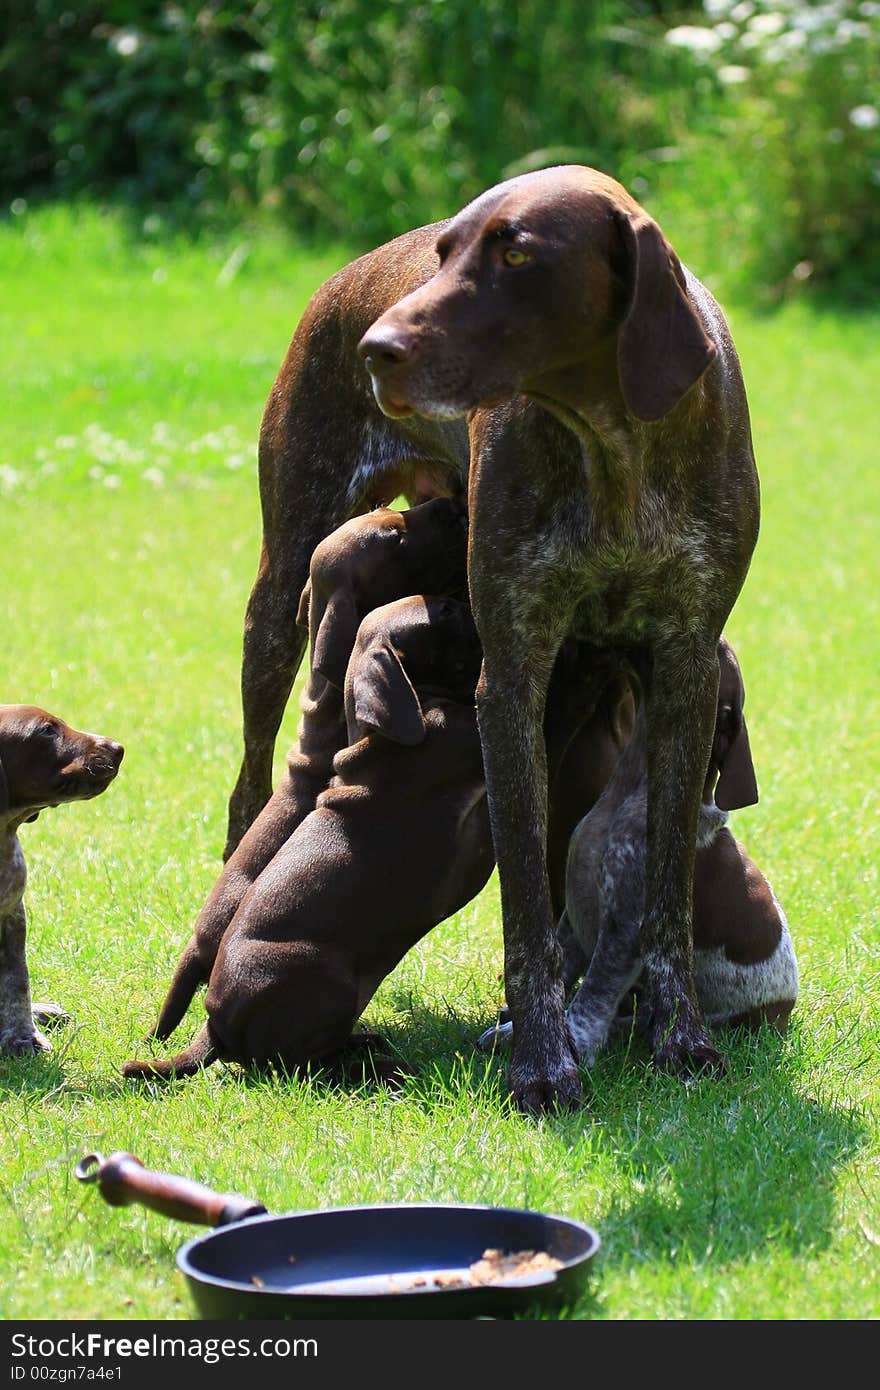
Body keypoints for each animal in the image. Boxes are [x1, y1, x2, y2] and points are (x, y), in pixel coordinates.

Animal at [222, 165, 756, 1117]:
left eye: (514, 253)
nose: (377, 349)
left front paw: (680, 1035)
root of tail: (341, 283)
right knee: (249, 789)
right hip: (278, 599)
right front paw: (542, 1060)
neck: (613, 442)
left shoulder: (684, 668)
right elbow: (526, 911)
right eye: (444, 253)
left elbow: (665, 892)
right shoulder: (513, 677)